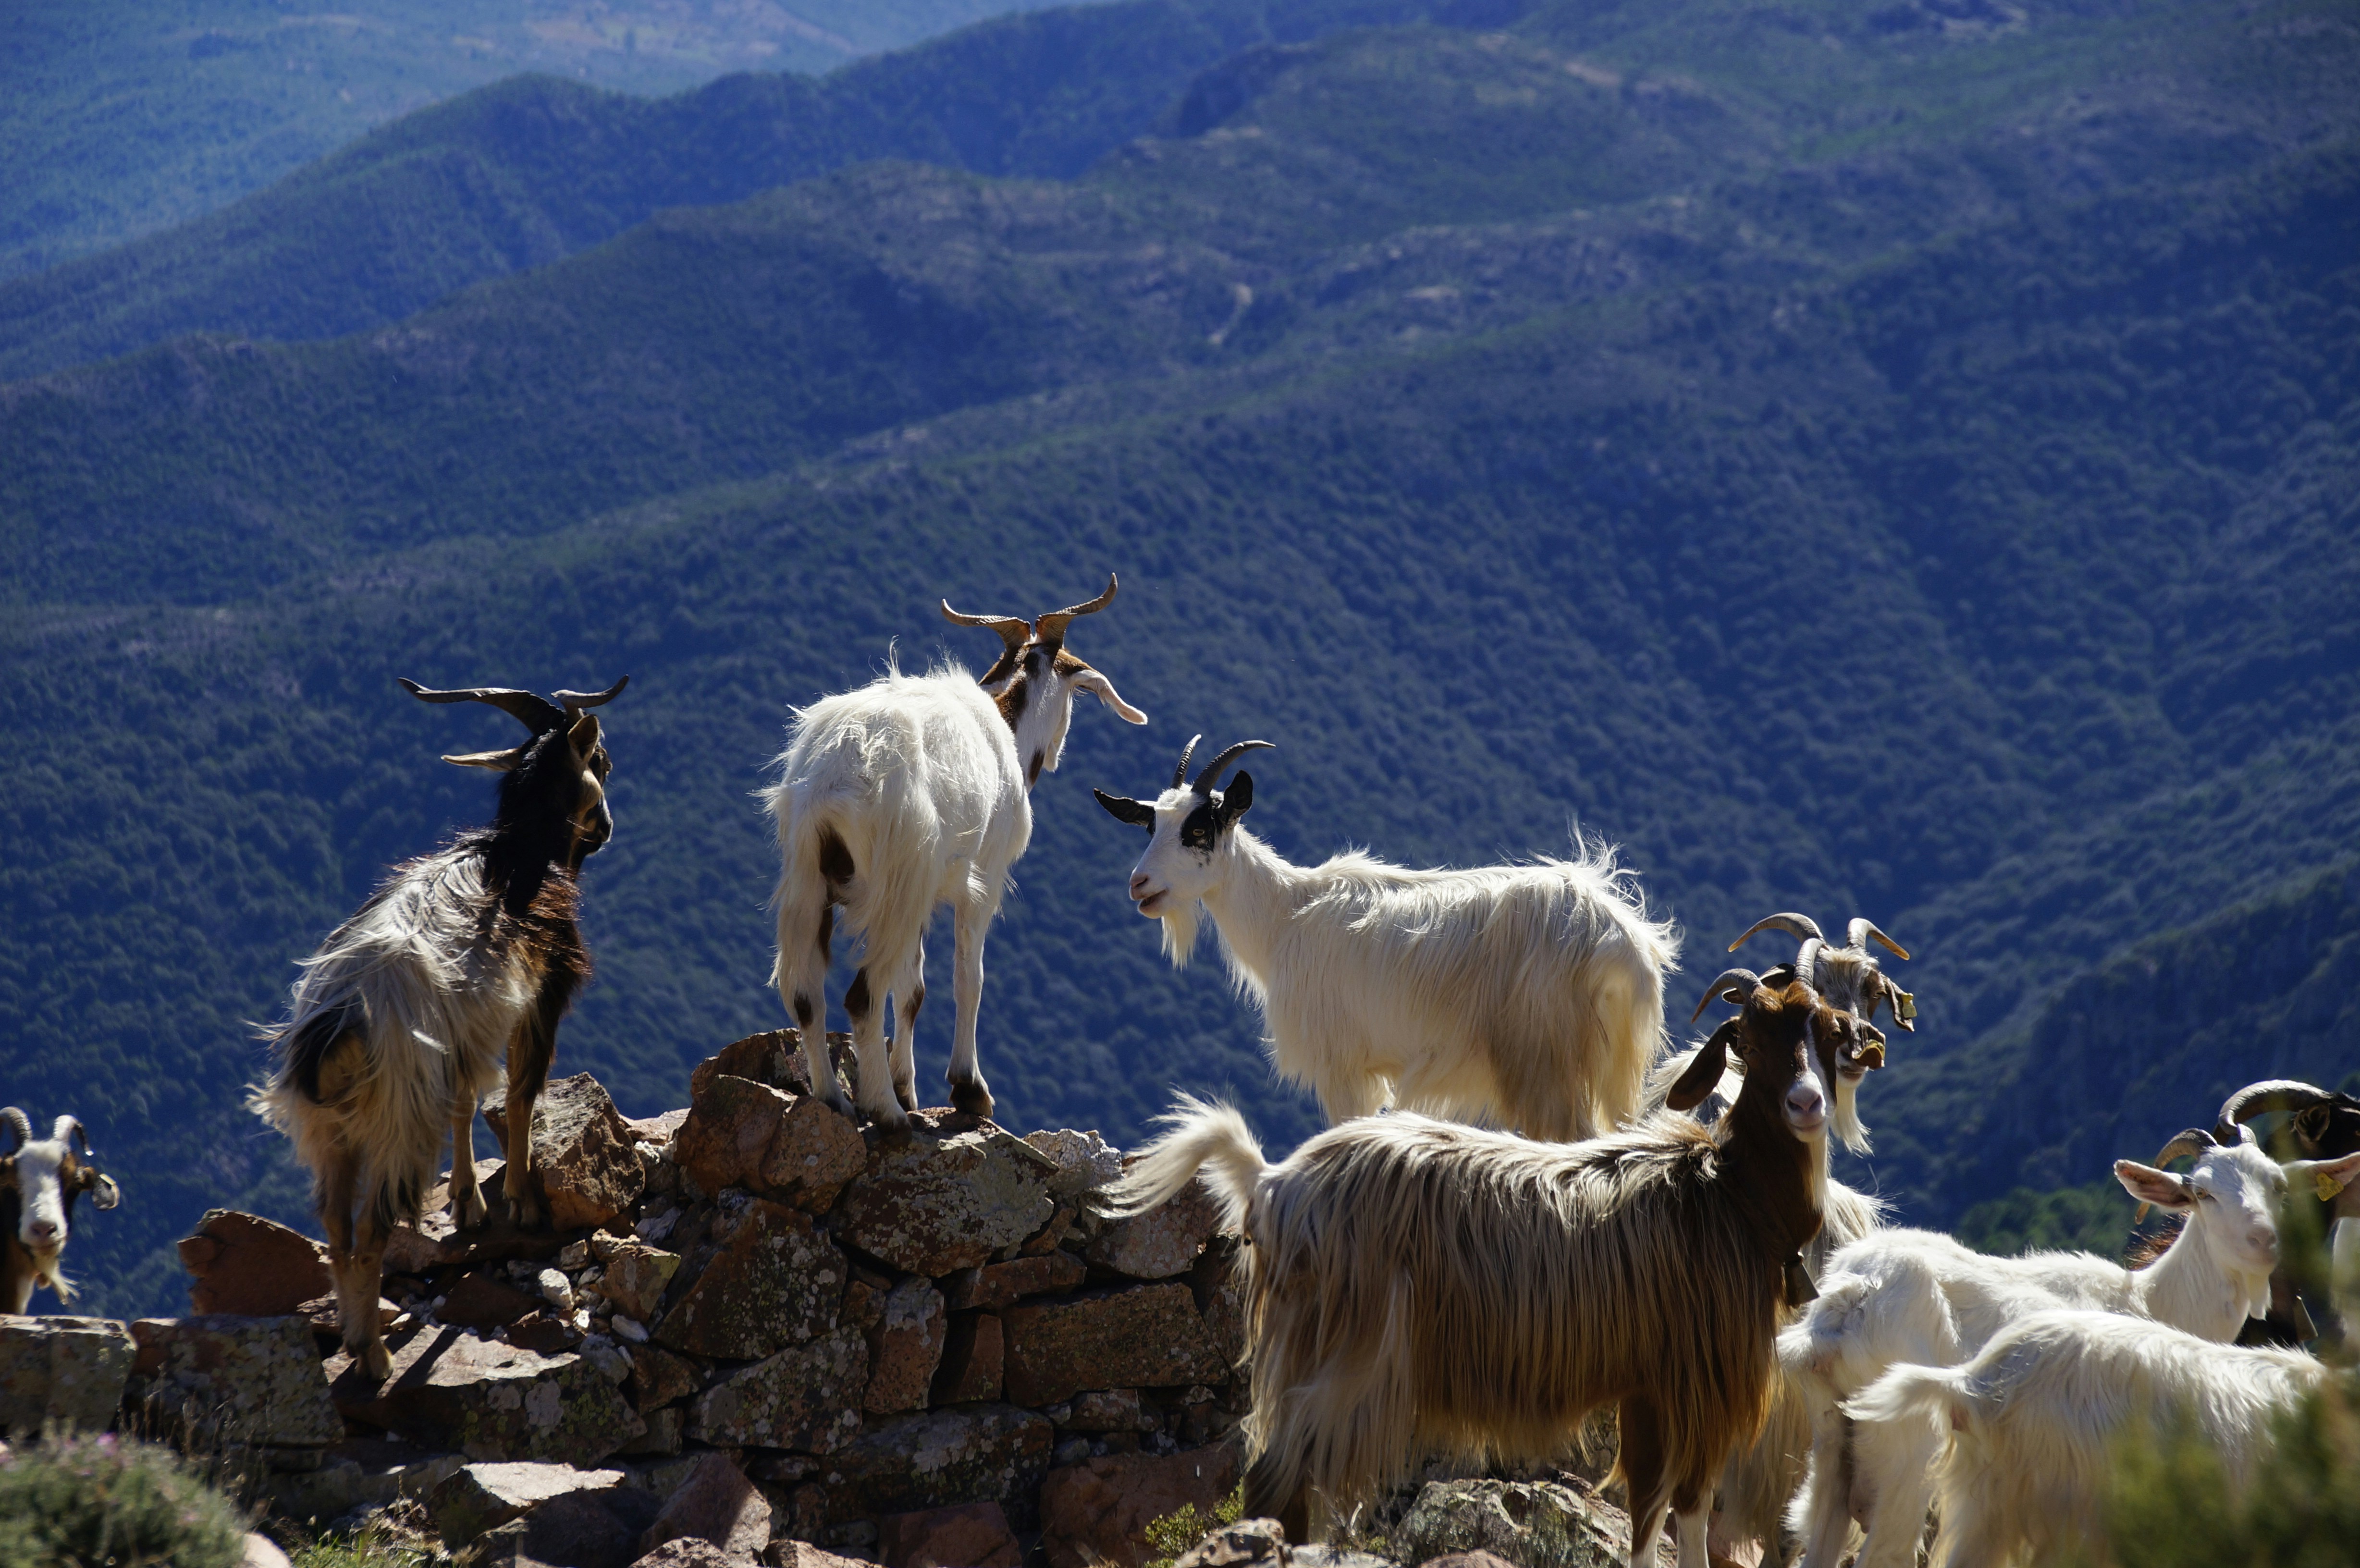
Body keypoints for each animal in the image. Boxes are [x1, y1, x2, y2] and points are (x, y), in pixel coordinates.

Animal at [251, 674, 626, 1379]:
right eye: (601, 760)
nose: (608, 829)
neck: (521, 856)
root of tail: (340, 1020)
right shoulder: (538, 997)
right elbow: (522, 1093)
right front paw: (521, 1200)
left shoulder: (462, 1036)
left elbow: (466, 1102)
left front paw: (469, 1205)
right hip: (398, 1116)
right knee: (372, 1231)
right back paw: (373, 1358)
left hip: (330, 1130)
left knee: (336, 1228)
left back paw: (356, 1335)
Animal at [766, 577, 1145, 1131]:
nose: (1056, 753)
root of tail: (841, 771)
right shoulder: (980, 881)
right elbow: (970, 979)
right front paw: (968, 1089)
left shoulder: (922, 897)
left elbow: (913, 990)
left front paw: (908, 1087)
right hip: (897, 879)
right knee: (862, 995)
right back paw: (883, 1111)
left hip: (810, 877)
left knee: (807, 993)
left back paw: (834, 1100)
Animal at [1093, 737, 1677, 1141]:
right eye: (1151, 827)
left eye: (1199, 830)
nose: (1139, 884)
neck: (1285, 917)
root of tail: (1621, 942)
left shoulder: (1343, 1066)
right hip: (1604, 1066)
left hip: (1544, 1057)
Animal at [1107, 976, 1873, 1568]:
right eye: (1749, 1039)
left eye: (1832, 1035)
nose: (1806, 1104)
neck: (1730, 1195)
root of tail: (1271, 1184)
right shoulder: (1695, 1379)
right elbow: (1683, 1506)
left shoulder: (1645, 1383)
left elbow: (1647, 1508)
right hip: (1348, 1352)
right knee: (1279, 1476)